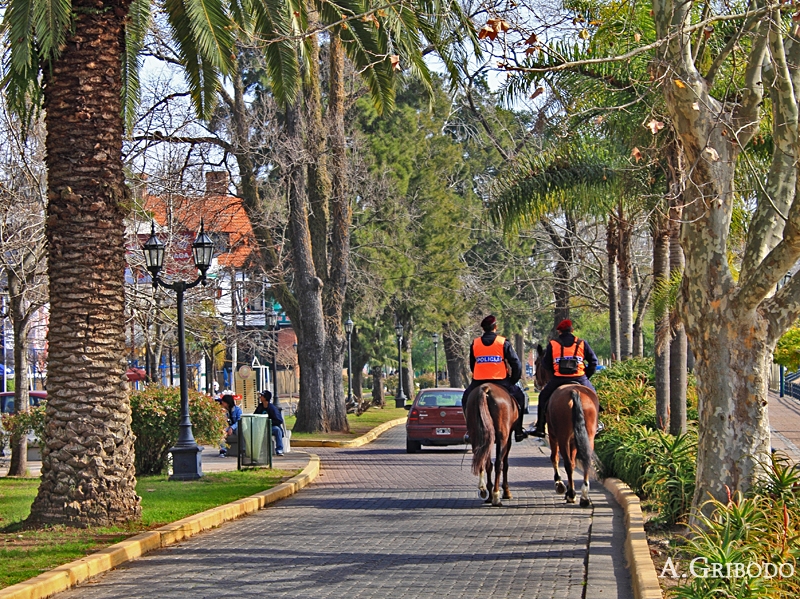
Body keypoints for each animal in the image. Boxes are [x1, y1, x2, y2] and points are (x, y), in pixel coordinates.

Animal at [536, 344, 596, 508]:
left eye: (537, 363)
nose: (536, 383)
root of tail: (574, 390)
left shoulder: (553, 435)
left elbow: (555, 457)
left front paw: (561, 485)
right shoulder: (574, 439)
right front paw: (570, 488)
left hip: (561, 437)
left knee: (567, 462)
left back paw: (571, 494)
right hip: (588, 435)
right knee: (586, 459)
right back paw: (584, 496)